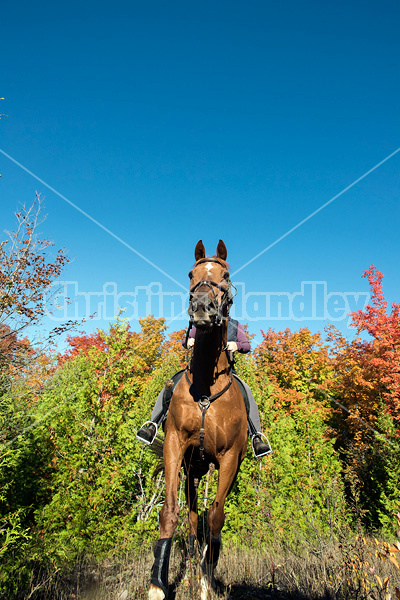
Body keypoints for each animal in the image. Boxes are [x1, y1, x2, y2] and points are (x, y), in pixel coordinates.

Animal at [148, 239, 247, 600]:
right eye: (192, 274)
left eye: (226, 275)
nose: (203, 306)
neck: (206, 384)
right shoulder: (175, 445)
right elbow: (170, 512)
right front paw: (158, 583)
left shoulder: (229, 459)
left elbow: (216, 518)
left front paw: (208, 579)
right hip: (193, 469)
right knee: (191, 517)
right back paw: (191, 565)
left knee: (207, 519)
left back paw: (203, 571)